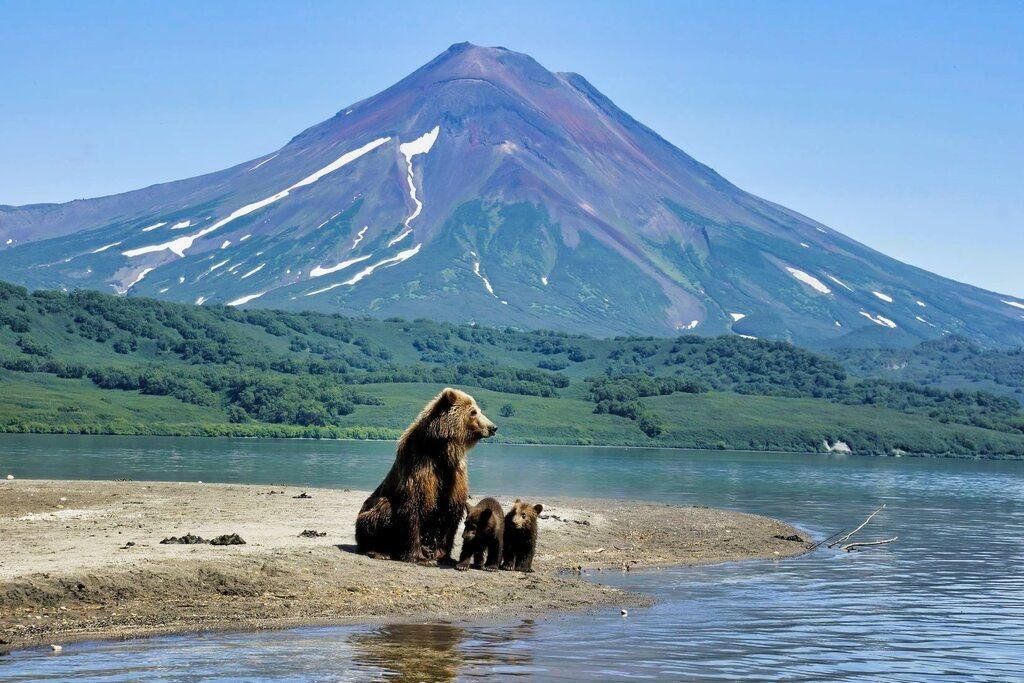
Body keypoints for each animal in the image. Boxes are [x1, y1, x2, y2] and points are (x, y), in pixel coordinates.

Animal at [354, 387, 497, 565]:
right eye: (473, 412)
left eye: (479, 411)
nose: (493, 427)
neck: (441, 450)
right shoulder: (421, 468)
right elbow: (414, 507)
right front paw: (419, 557)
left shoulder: (454, 474)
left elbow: (451, 512)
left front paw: (444, 556)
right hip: (368, 514)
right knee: (381, 510)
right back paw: (379, 551)